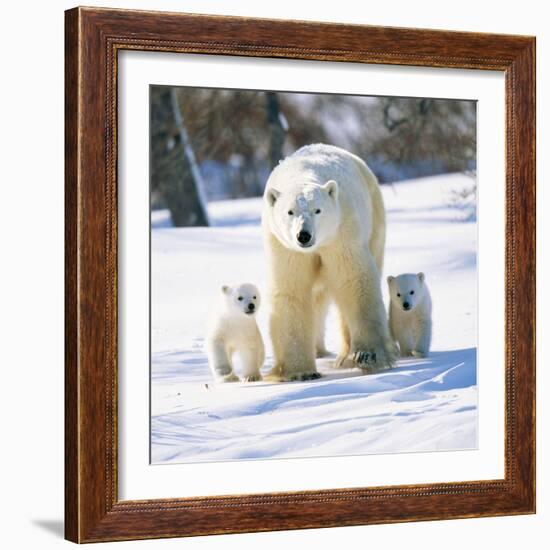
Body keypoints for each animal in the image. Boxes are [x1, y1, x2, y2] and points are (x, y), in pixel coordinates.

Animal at [264, 144, 396, 382]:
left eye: (318, 210)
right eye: (290, 212)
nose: (304, 235)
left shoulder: (341, 232)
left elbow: (354, 280)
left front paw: (368, 355)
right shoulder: (284, 247)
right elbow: (291, 291)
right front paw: (301, 371)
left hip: (375, 218)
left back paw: (345, 356)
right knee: (316, 298)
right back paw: (318, 351)